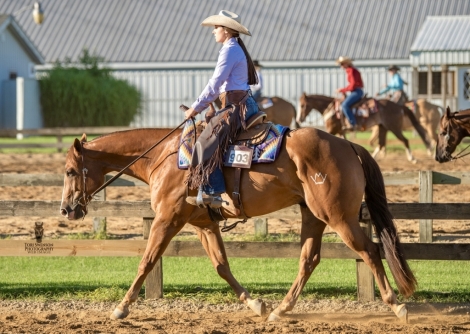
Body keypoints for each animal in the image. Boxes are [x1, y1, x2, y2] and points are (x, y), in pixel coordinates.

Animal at [60, 126, 416, 322]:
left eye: (69, 171)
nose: (66, 209)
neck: (165, 157)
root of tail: (348, 145)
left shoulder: (167, 220)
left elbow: (146, 261)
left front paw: (121, 308)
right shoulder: (204, 224)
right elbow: (222, 266)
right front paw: (256, 304)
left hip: (338, 216)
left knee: (369, 251)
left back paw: (397, 306)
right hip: (313, 215)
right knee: (309, 259)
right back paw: (280, 310)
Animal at [300, 92, 432, 163]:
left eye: (302, 105)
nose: (299, 119)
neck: (332, 110)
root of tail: (399, 106)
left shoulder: (332, 130)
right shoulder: (340, 131)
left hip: (393, 127)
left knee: (405, 140)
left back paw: (412, 158)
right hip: (382, 127)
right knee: (381, 144)